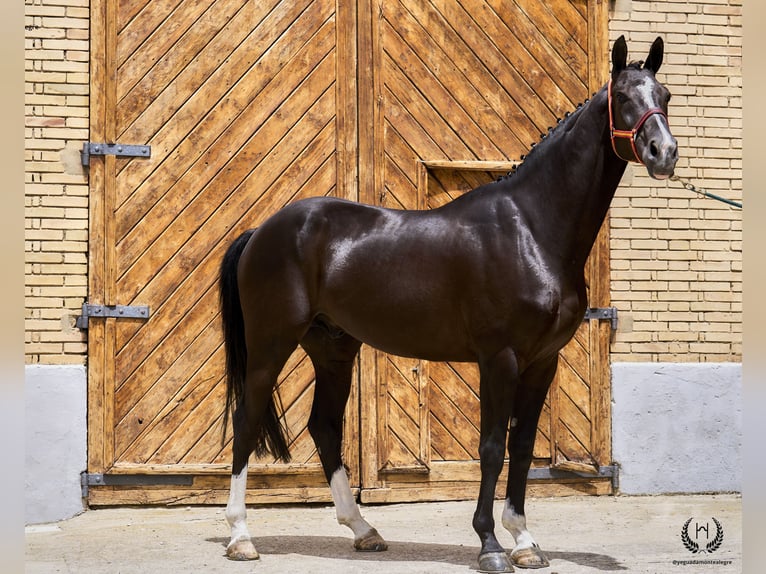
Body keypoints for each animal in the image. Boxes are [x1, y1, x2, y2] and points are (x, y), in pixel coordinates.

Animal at [220, 38, 680, 572]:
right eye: (623, 95)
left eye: (665, 95)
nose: (664, 152)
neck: (532, 229)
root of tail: (262, 231)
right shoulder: (499, 358)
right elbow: (492, 447)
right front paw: (491, 544)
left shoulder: (542, 361)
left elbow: (523, 446)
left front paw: (524, 541)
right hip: (272, 342)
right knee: (247, 420)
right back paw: (241, 536)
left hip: (333, 347)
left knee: (325, 427)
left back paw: (363, 530)